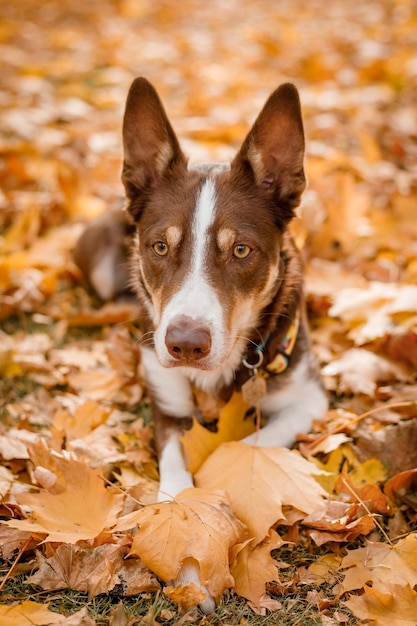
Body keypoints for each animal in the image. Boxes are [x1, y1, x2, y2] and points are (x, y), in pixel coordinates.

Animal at [75, 78, 328, 608]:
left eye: (241, 250)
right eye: (160, 246)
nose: (185, 344)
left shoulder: (309, 399)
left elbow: (252, 447)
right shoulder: (168, 411)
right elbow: (175, 484)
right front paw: (190, 563)